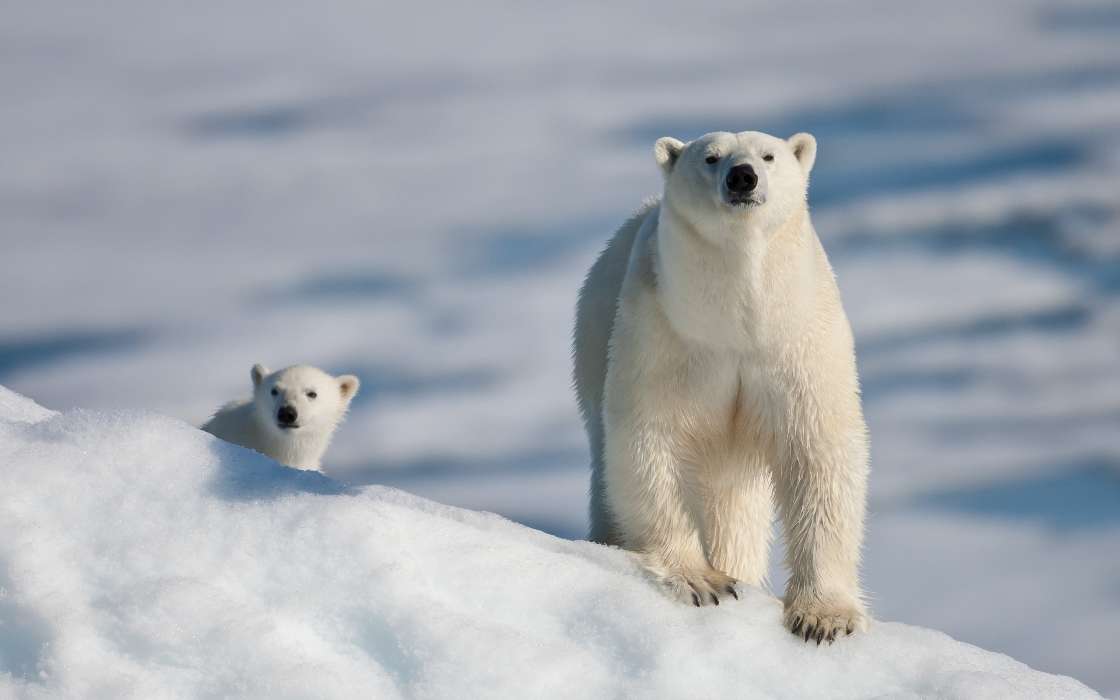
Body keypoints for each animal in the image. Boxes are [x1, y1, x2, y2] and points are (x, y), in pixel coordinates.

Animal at [573, 128, 869, 640]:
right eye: (711, 158)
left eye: (768, 156)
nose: (742, 177)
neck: (737, 320)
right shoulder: (667, 332)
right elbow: (652, 440)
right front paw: (702, 581)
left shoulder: (796, 337)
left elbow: (819, 451)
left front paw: (823, 617)